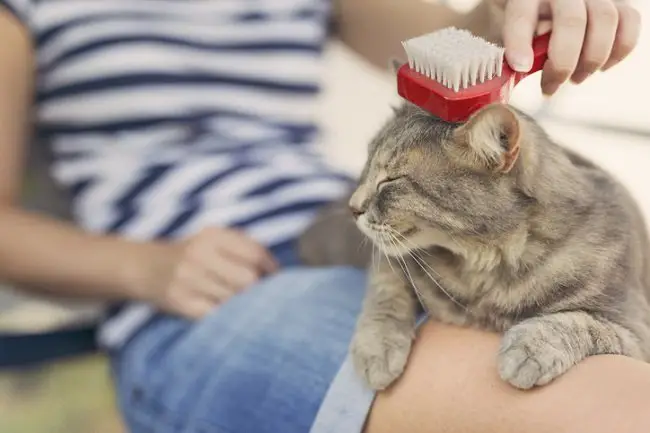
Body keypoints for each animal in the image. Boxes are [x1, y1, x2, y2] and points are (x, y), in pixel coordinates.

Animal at [298, 100, 648, 388]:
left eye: (391, 180)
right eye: (367, 165)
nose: (352, 207)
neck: (485, 272)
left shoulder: (636, 328)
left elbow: (581, 323)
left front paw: (530, 348)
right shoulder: (394, 261)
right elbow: (386, 290)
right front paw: (378, 347)